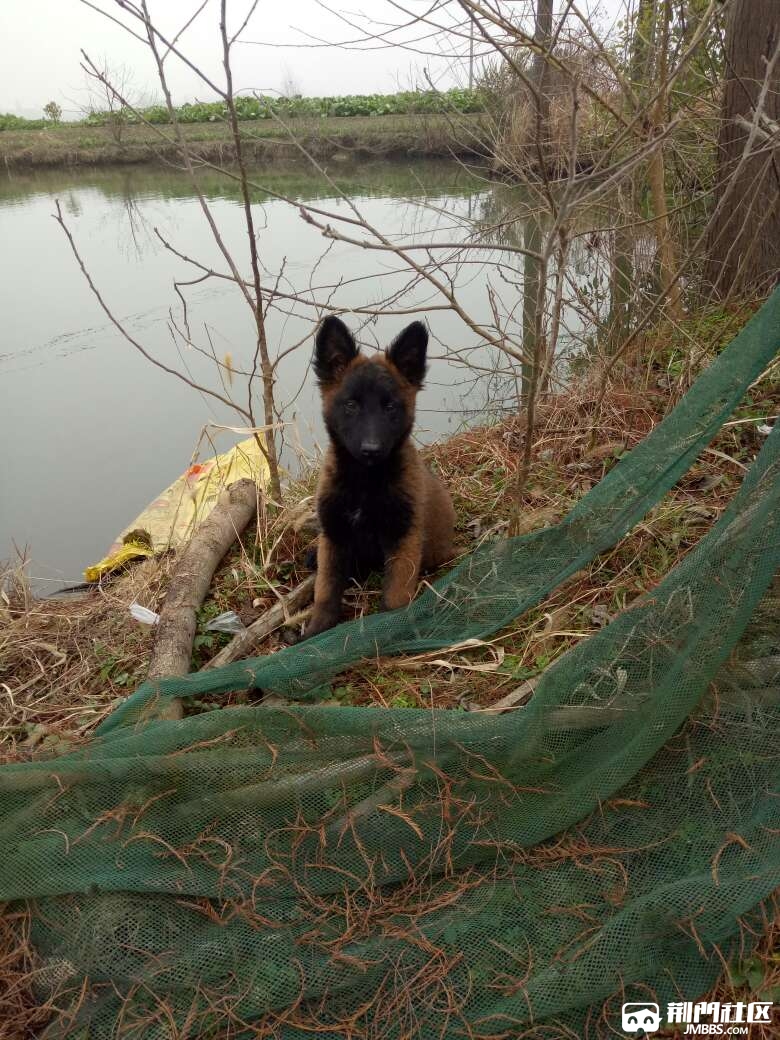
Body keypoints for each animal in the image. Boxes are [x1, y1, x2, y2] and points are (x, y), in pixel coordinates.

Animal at [301, 316, 455, 636]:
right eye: (351, 405)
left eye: (390, 406)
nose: (371, 450)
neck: (365, 481)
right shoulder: (334, 535)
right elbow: (326, 591)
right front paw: (315, 633)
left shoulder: (403, 537)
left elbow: (395, 598)